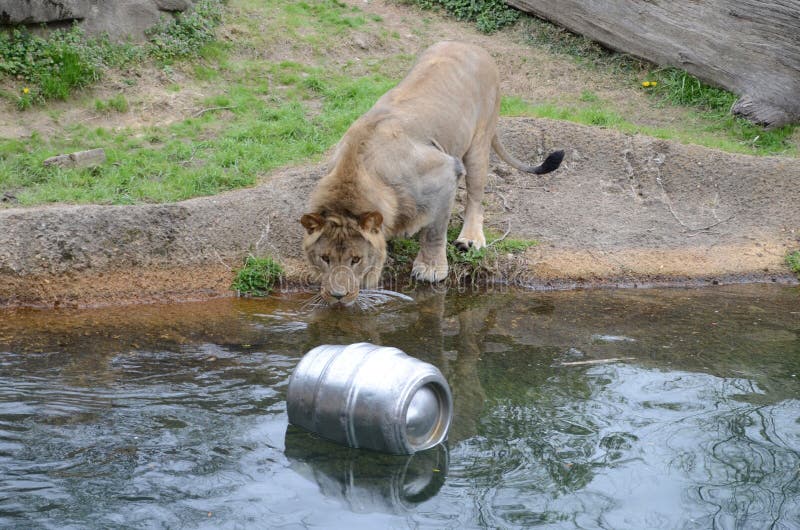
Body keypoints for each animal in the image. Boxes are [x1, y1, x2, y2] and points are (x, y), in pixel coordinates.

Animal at [300, 41, 564, 307]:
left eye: (356, 259)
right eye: (324, 258)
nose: (337, 296)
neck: (357, 171)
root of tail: (472, 45)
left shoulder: (445, 173)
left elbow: (434, 232)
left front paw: (430, 268)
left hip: (479, 143)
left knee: (476, 198)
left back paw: (470, 238)